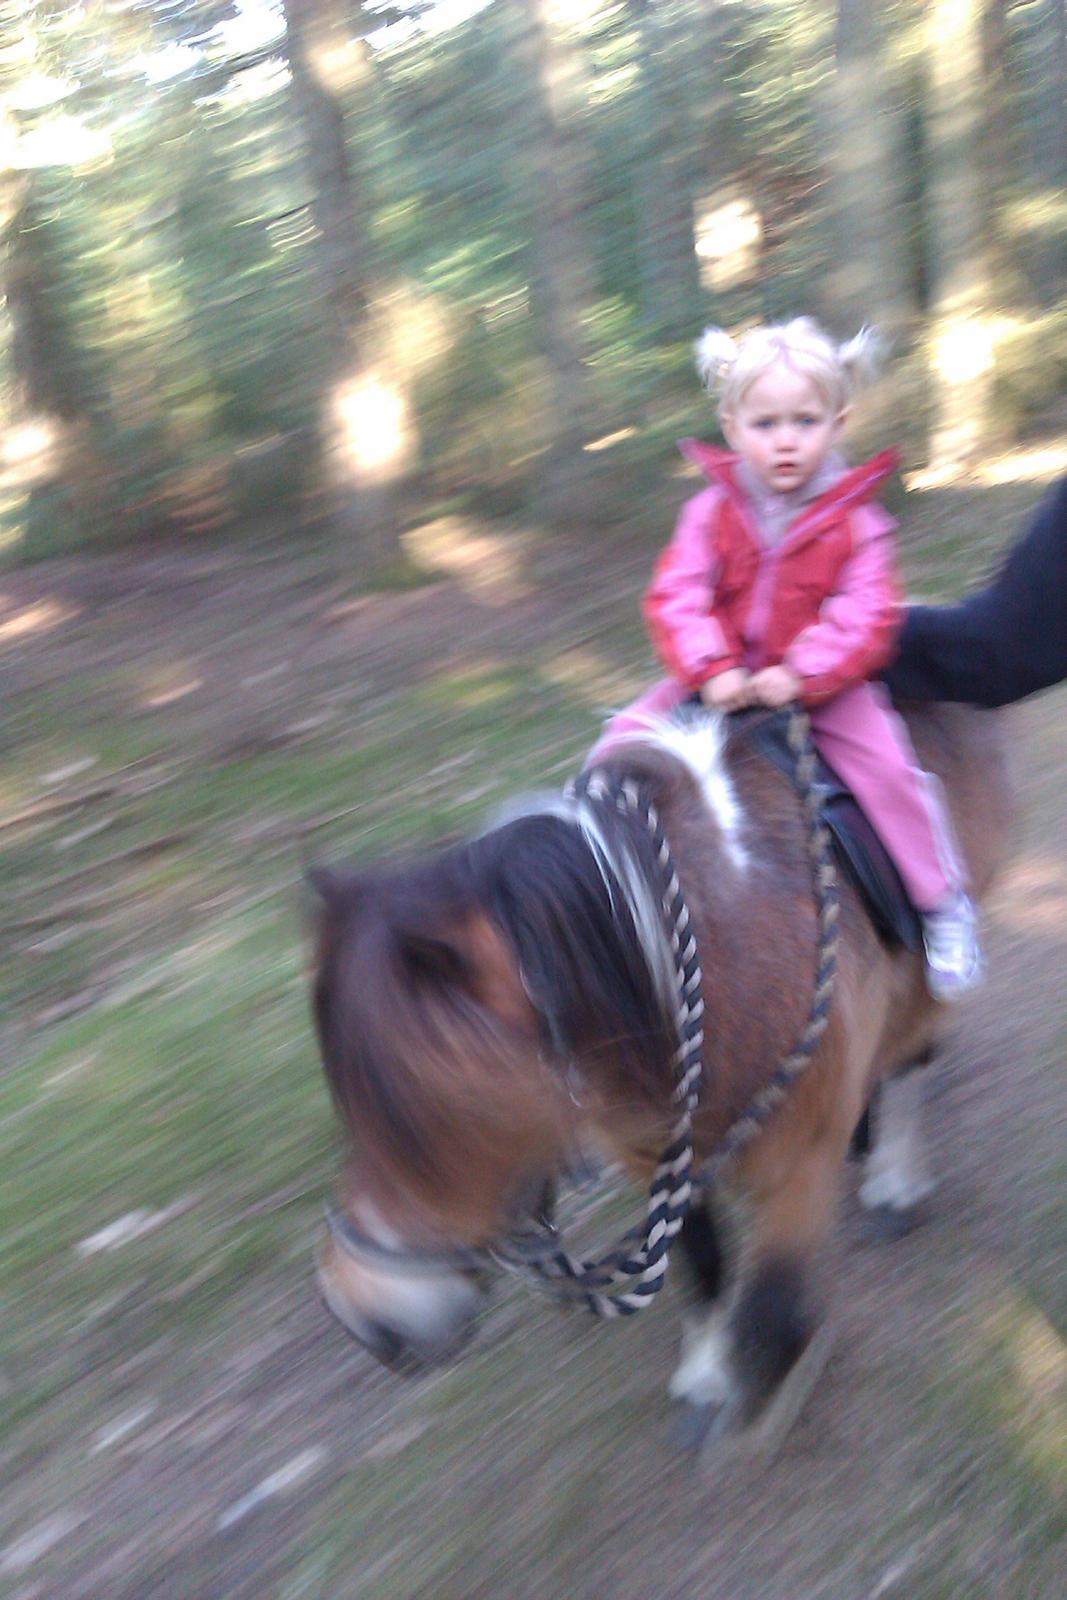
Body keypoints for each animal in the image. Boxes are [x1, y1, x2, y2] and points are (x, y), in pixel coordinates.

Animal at [310, 703, 1013, 1441]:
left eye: (429, 1116)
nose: (364, 1319)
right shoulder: (665, 1159)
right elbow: (703, 1264)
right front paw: (705, 1380)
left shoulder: (797, 1170)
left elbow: (773, 1303)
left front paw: (764, 1398)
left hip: (930, 970)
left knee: (911, 1060)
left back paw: (894, 1183)